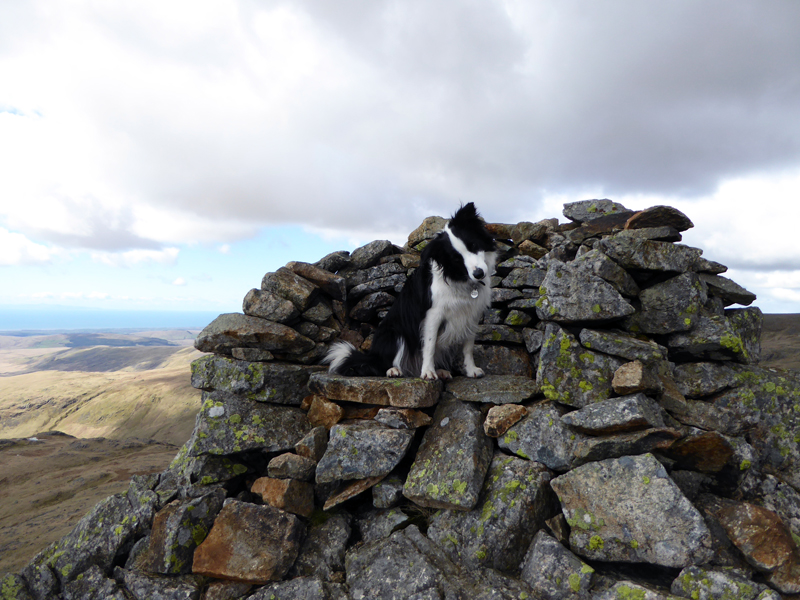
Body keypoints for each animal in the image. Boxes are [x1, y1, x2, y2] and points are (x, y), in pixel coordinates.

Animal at [324, 202, 494, 380]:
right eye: (456, 259)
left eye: (473, 245)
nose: (479, 273)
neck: (461, 279)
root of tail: (372, 356)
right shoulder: (433, 314)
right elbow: (429, 345)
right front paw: (428, 372)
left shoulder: (471, 313)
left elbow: (468, 346)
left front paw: (471, 370)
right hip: (394, 333)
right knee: (383, 364)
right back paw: (394, 370)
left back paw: (440, 370)